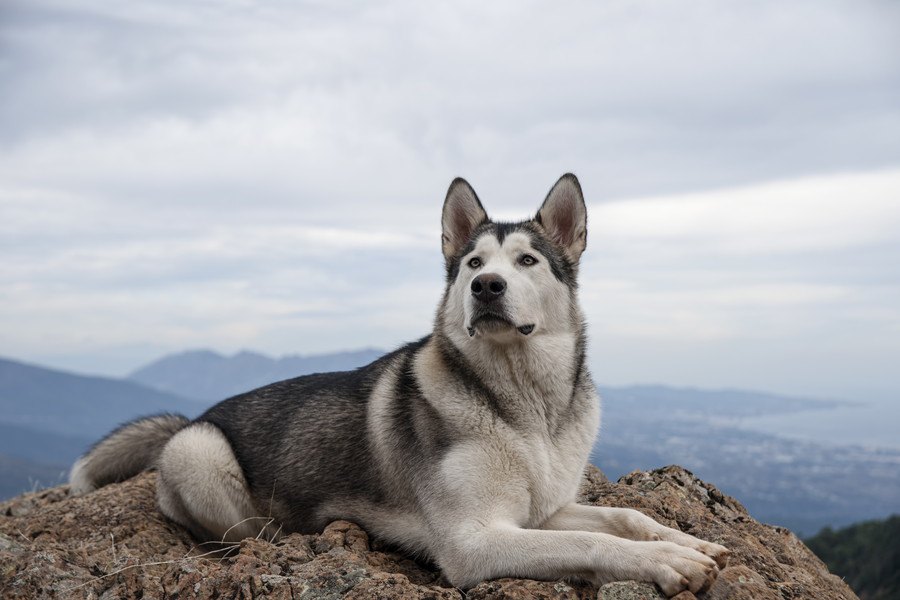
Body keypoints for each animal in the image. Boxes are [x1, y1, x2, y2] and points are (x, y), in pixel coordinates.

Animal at [72, 173, 732, 596]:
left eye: (527, 261)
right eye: (473, 263)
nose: (486, 286)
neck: (526, 410)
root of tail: (192, 418)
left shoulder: (543, 511)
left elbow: (625, 517)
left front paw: (686, 541)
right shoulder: (475, 541)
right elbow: (594, 546)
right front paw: (668, 561)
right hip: (200, 453)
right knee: (242, 534)